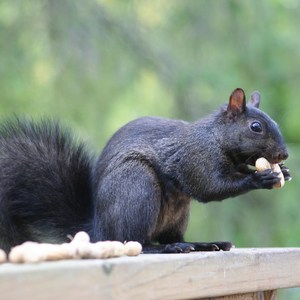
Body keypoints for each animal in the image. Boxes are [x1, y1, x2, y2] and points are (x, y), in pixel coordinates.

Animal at [0, 88, 292, 252]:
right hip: (137, 186)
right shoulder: (196, 158)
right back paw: (170, 248)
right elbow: (211, 187)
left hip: (177, 213)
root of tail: (99, 229)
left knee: (168, 235)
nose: (284, 154)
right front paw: (261, 177)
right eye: (256, 127)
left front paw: (284, 171)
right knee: (135, 242)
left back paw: (201, 244)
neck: (215, 138)